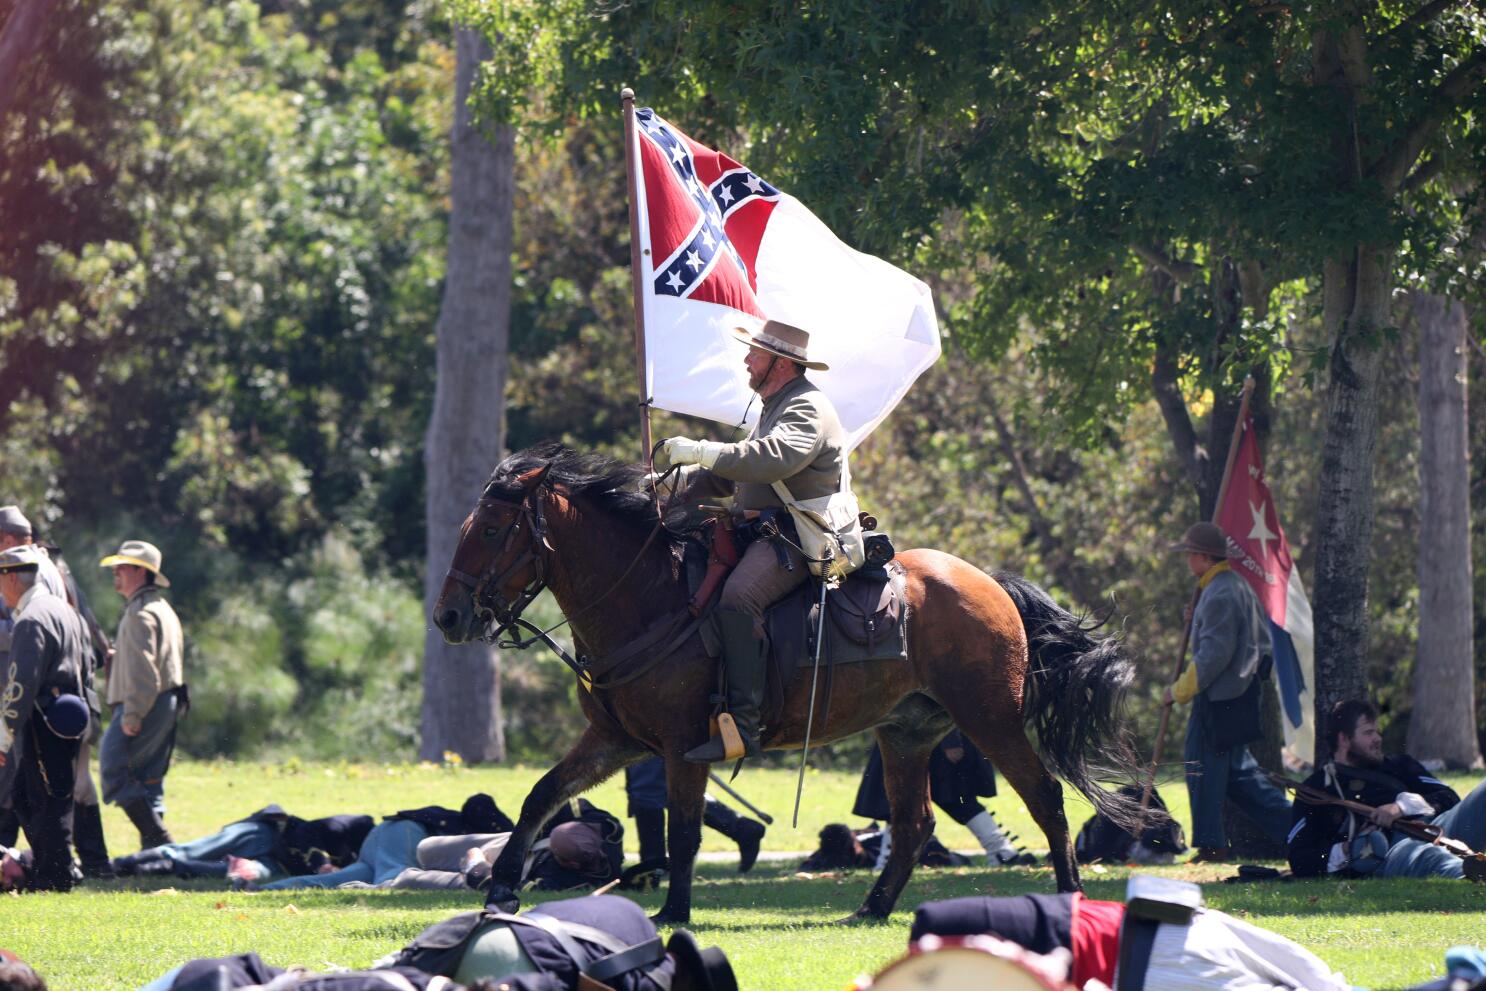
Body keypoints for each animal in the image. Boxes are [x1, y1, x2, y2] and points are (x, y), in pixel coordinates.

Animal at [430, 445, 1135, 927]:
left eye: (490, 529)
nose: (449, 618)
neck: (650, 597)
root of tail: (990, 583)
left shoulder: (683, 747)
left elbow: (684, 831)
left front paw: (673, 912)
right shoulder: (615, 741)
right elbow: (541, 797)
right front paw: (501, 888)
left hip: (990, 720)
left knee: (1045, 798)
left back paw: (1070, 895)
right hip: (906, 734)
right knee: (914, 823)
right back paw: (871, 909)